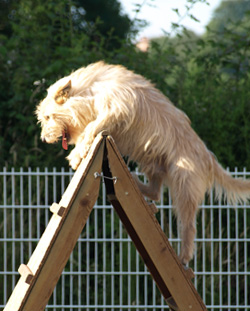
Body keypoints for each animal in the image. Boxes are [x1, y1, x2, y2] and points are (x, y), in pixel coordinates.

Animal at [36, 61, 250, 266]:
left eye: (48, 116)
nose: (44, 139)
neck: (91, 91)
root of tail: (208, 157)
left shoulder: (117, 109)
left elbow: (92, 126)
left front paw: (76, 154)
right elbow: (91, 129)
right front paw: (80, 149)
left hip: (184, 183)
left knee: (188, 224)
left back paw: (184, 255)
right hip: (154, 164)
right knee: (155, 192)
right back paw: (135, 182)